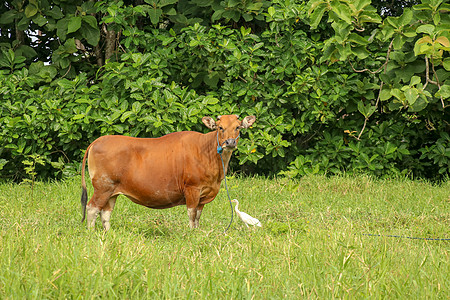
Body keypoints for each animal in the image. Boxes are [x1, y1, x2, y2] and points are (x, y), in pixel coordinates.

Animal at [81, 114, 255, 230]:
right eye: (220, 127)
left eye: (237, 127)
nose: (230, 142)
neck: (206, 152)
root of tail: (98, 140)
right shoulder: (192, 189)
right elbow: (191, 214)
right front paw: (191, 232)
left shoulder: (203, 194)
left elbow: (198, 216)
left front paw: (197, 231)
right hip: (102, 187)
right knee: (92, 208)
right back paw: (91, 232)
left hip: (112, 190)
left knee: (105, 212)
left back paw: (108, 232)